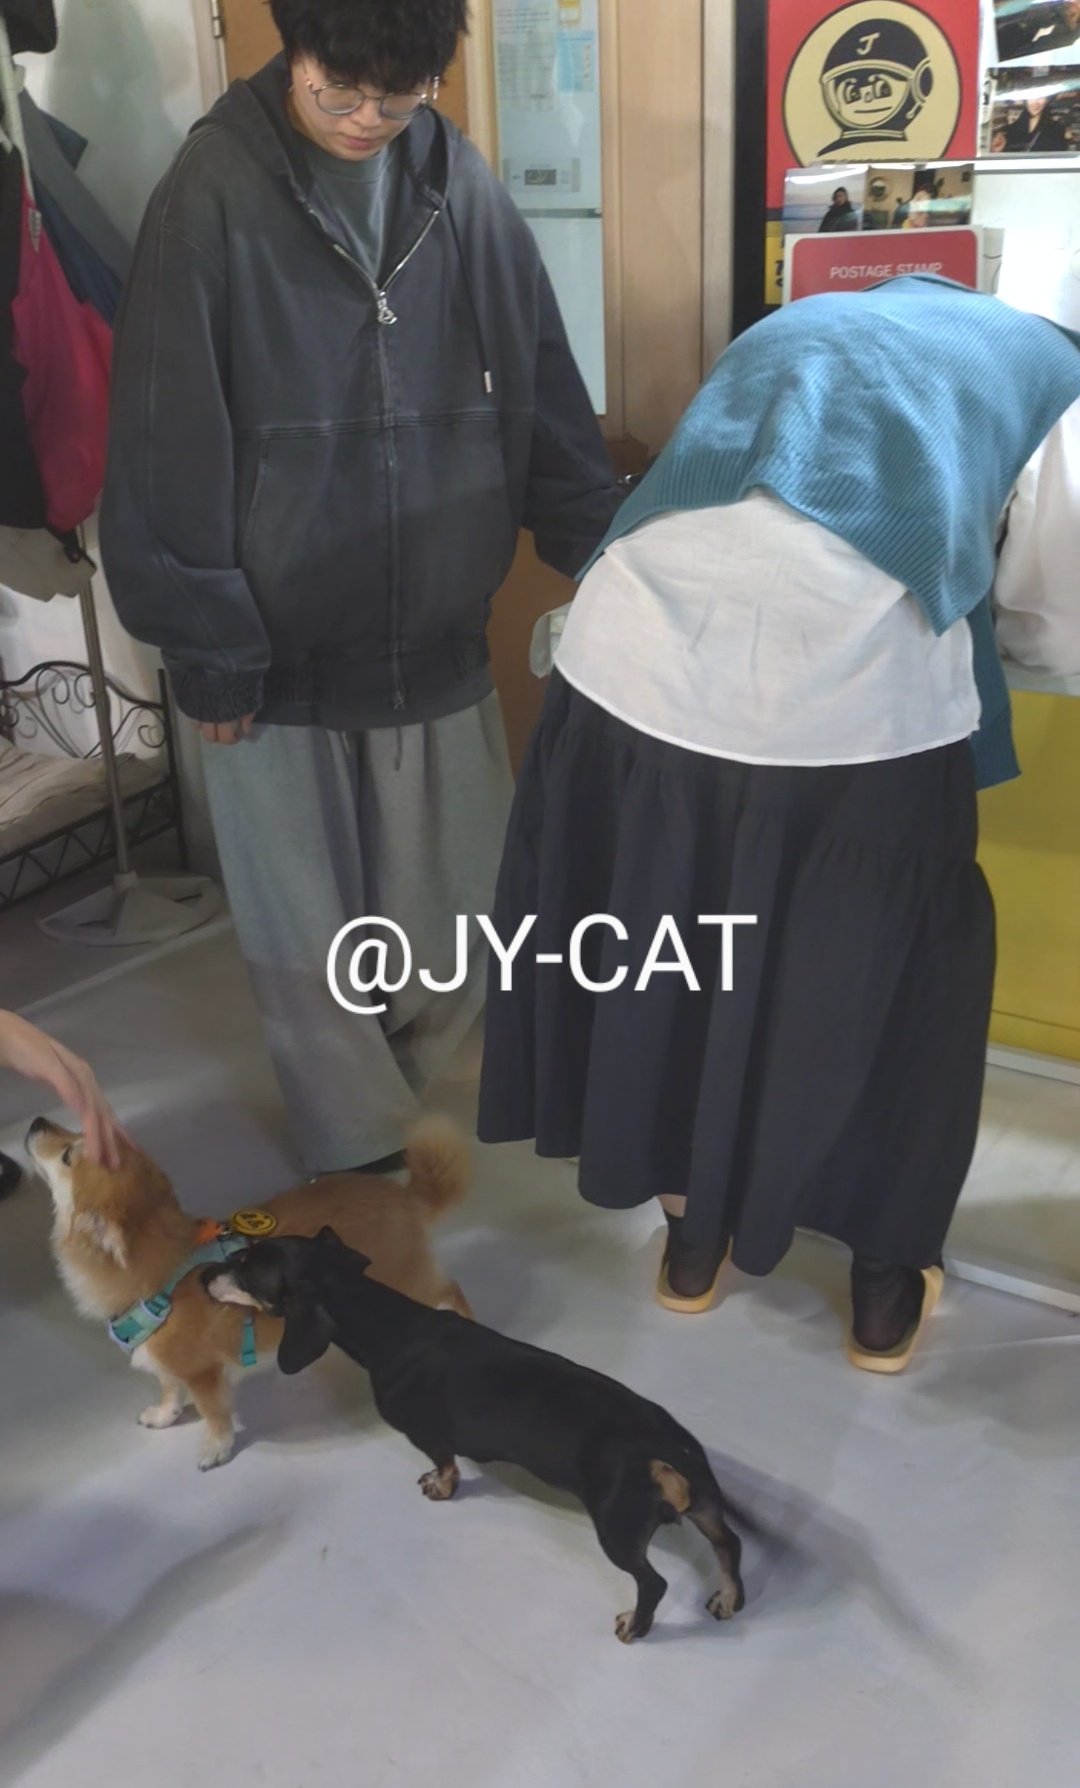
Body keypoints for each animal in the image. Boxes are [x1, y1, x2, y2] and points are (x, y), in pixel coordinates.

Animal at [27, 1114, 471, 1470]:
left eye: (67, 1154)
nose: (36, 1121)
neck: (162, 1277)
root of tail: (404, 1194)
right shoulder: (167, 1364)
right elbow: (169, 1389)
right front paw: (164, 1415)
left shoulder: (203, 1373)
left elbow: (213, 1414)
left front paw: (215, 1448)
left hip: (405, 1282)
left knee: (451, 1291)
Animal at [204, 1227, 748, 1642]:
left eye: (245, 1264)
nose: (201, 1275)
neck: (387, 1323)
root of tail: (665, 1451)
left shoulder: (427, 1437)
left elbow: (444, 1464)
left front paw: (440, 1487)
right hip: (705, 1505)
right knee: (730, 1544)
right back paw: (727, 1597)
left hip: (617, 1531)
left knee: (653, 1583)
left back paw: (635, 1625)